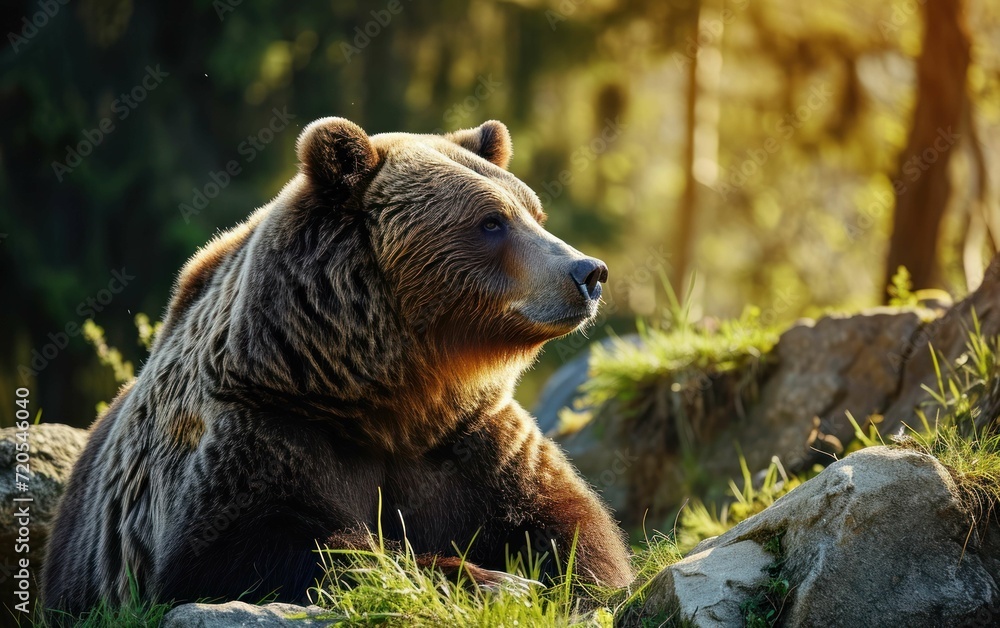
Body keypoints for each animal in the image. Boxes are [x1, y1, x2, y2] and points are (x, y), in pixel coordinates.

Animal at [41, 117, 633, 616]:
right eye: (491, 221)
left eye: (533, 212)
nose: (589, 272)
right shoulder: (264, 428)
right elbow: (253, 550)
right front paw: (496, 581)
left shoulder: (471, 437)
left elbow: (572, 524)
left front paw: (566, 579)